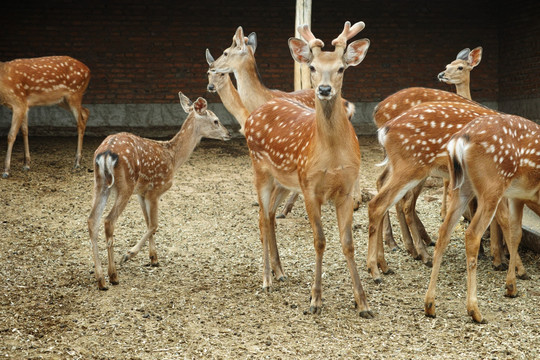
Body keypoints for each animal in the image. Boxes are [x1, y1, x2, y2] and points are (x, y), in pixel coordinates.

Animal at [87, 92, 231, 290]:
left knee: (92, 220)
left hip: (100, 183)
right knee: (108, 221)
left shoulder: (142, 192)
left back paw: (101, 279)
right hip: (125, 185)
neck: (173, 158)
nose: (228, 133)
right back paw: (113, 275)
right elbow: (154, 224)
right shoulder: (156, 189)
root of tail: (105, 153)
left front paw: (153, 258)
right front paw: (130, 254)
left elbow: (148, 223)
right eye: (216, 120)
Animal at [244, 21, 374, 316]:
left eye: (341, 68)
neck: (332, 155)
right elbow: (320, 240)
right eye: (312, 67)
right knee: (261, 218)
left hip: (284, 180)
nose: (324, 89)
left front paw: (362, 302)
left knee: (270, 216)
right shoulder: (309, 188)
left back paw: (280, 272)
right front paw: (315, 299)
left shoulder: (346, 190)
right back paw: (267, 279)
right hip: (260, 169)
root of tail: (253, 114)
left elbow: (348, 244)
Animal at [368, 100, 498, 282]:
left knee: (383, 190)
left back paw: (388, 262)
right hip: (410, 168)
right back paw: (380, 269)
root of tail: (384, 130)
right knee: (382, 203)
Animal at [424, 113, 536, 324]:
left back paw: (430, 305)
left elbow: (515, 233)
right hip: (492, 185)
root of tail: (459, 141)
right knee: (472, 234)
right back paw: (475, 311)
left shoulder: (518, 195)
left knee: (444, 231)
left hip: (462, 186)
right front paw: (513, 283)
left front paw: (512, 286)